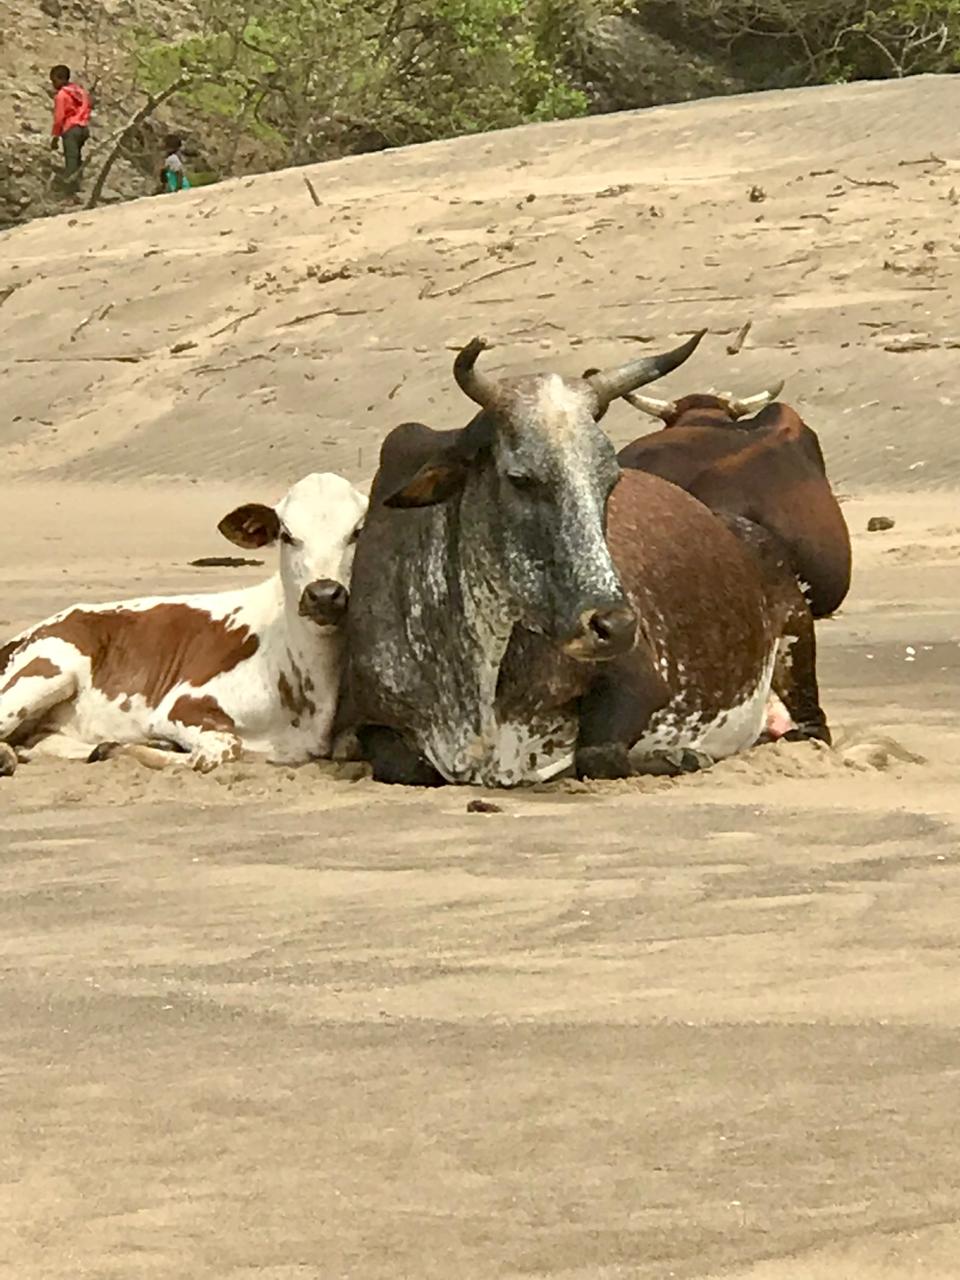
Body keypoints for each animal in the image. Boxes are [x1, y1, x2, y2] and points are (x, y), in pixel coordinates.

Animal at [0, 472, 367, 777]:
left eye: (357, 532)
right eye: (288, 535)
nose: (323, 594)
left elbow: (349, 746)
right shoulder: (181, 706)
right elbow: (221, 750)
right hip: (50, 669)